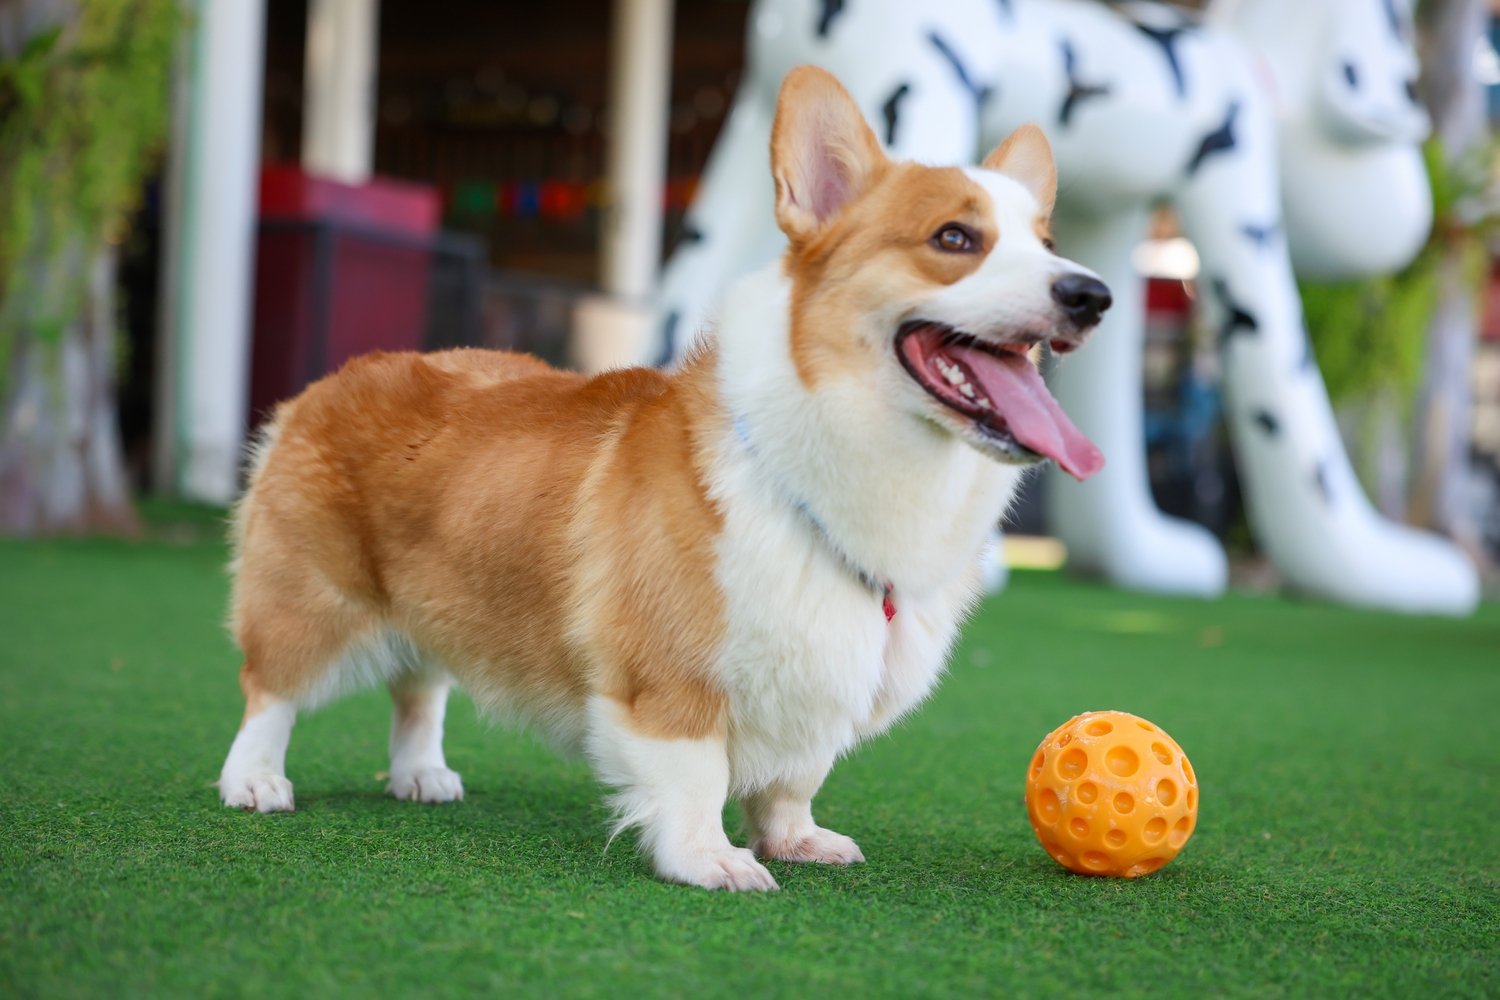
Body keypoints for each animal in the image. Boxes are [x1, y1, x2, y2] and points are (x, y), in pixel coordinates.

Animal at [222, 64, 1116, 893]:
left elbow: (794, 781)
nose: (1094, 294)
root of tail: (334, 379)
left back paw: (419, 775)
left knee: (418, 686)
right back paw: (255, 780)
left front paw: (797, 840)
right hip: (311, 599)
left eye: (1047, 243)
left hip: (438, 598)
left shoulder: (816, 691)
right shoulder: (669, 681)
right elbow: (697, 777)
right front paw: (709, 860)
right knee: (270, 688)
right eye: (955, 239)